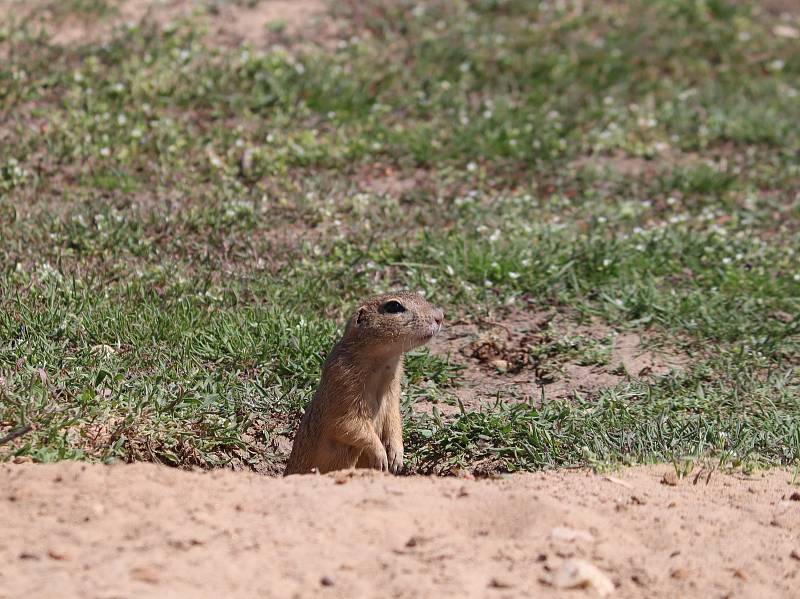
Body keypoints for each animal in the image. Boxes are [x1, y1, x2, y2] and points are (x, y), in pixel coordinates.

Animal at [284, 292, 444, 476]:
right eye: (394, 306)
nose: (440, 316)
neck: (382, 364)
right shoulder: (343, 382)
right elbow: (347, 424)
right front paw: (380, 456)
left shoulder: (393, 391)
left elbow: (394, 419)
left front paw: (397, 457)